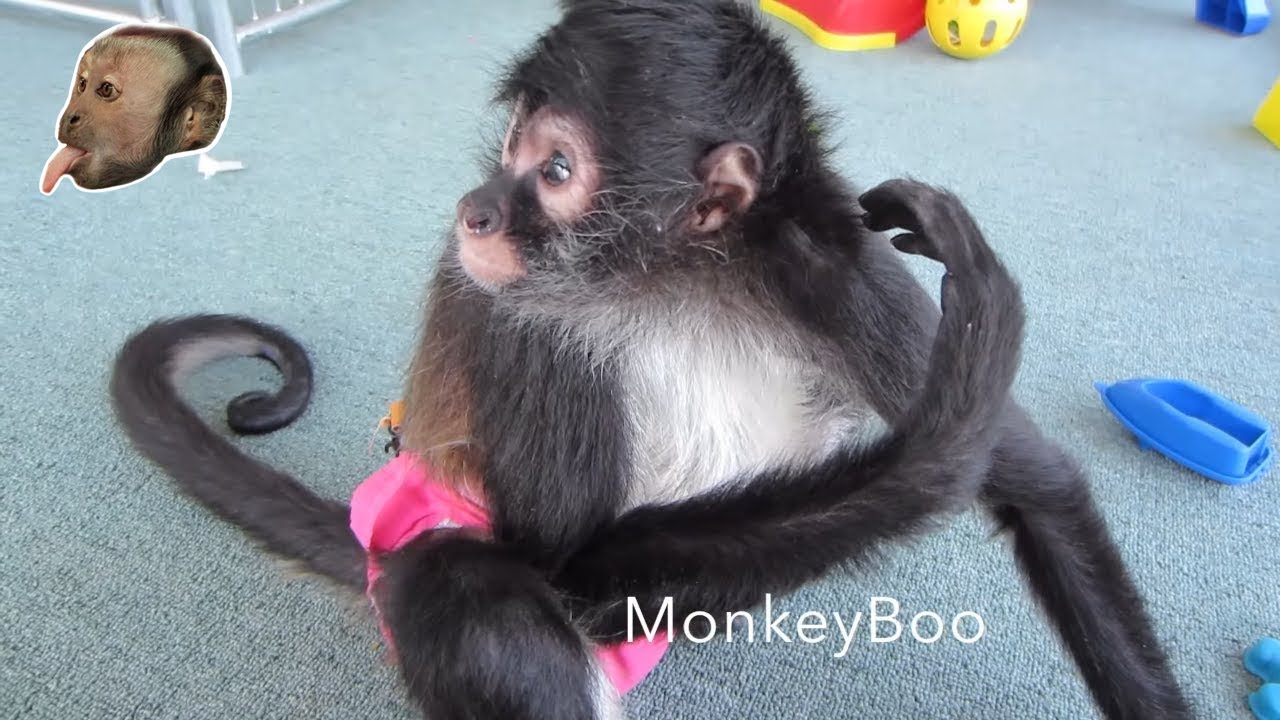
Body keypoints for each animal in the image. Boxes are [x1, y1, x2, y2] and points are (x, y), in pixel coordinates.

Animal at [108, 1, 1195, 719]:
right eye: (511, 146)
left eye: (554, 169)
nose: (476, 210)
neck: (675, 281)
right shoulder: (520, 312)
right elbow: (571, 561)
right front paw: (956, 410)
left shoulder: (828, 259)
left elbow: (1039, 485)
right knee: (462, 585)